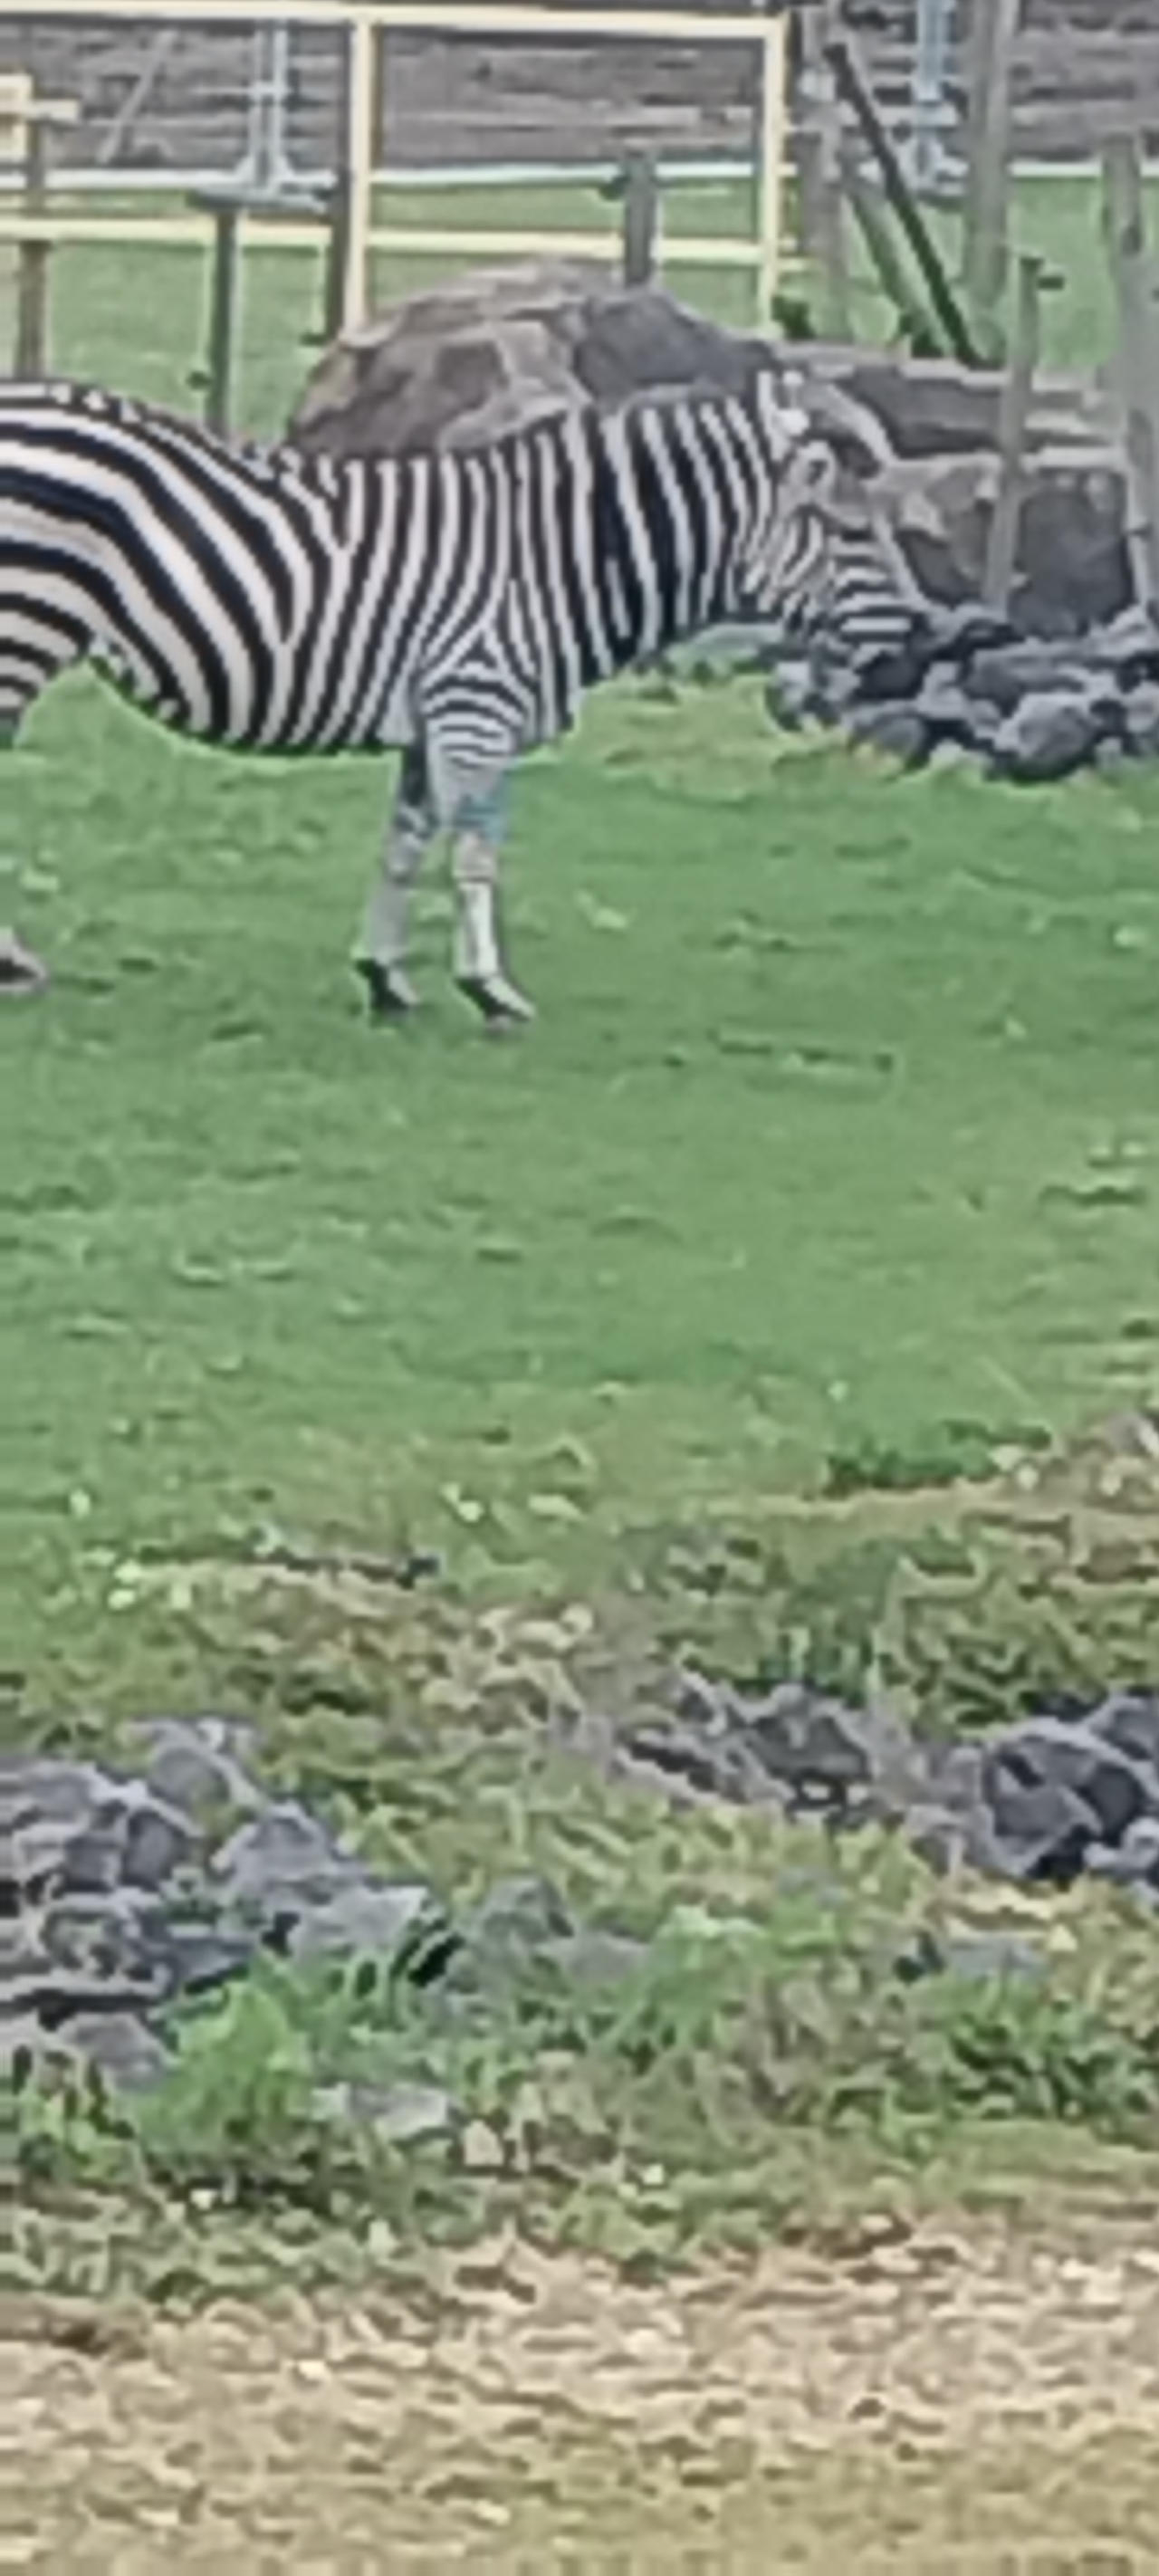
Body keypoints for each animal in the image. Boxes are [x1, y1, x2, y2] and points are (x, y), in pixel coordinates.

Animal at [0, 369, 916, 1026]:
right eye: (851, 530)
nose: (914, 650)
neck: (557, 558)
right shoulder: (477, 706)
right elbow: (476, 855)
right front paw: (490, 989)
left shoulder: (430, 724)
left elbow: (403, 847)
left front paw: (384, 979)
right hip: (25, 627)